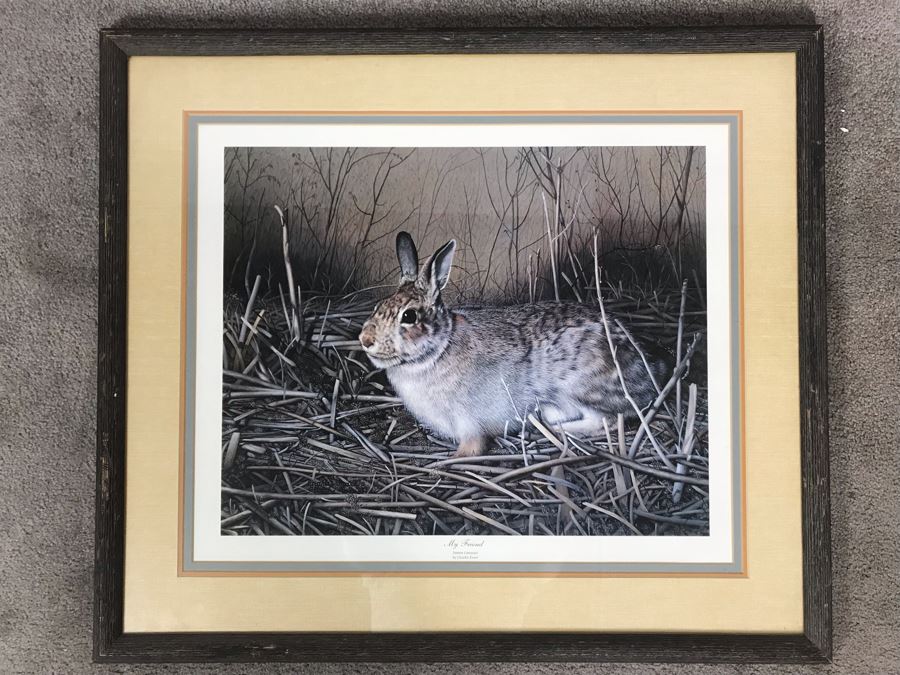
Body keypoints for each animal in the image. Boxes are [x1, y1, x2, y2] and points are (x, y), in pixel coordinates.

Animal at [358, 231, 667, 457]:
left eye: (409, 316)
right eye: (378, 306)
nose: (365, 340)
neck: (439, 349)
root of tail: (650, 375)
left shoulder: (469, 423)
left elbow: (471, 448)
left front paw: (451, 461)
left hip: (582, 385)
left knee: (608, 420)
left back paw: (550, 428)